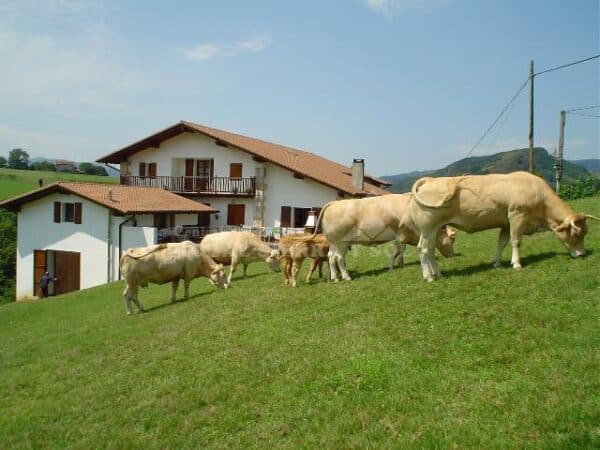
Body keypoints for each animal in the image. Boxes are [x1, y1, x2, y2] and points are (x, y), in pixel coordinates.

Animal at [316, 193, 458, 282]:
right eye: (453, 239)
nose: (452, 255)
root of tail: (333, 203)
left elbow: (399, 253)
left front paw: (395, 266)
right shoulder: (402, 236)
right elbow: (397, 253)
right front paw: (394, 266)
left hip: (334, 242)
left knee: (331, 257)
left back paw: (335, 277)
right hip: (342, 242)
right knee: (339, 258)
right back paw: (346, 277)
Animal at [408, 171, 596, 282]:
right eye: (577, 234)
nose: (582, 254)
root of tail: (429, 180)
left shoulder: (506, 222)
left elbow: (502, 242)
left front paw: (496, 262)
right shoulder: (517, 215)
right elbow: (516, 241)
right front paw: (517, 263)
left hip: (434, 230)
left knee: (430, 250)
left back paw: (438, 274)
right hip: (428, 229)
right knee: (423, 250)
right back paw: (428, 277)